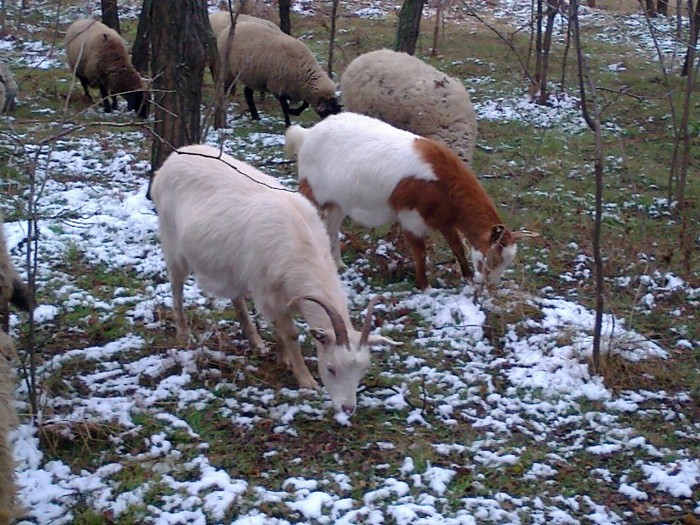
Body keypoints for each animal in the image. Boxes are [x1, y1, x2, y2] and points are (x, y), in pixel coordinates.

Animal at [150, 143, 396, 414]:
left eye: (362, 370)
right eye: (331, 368)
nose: (348, 408)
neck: (302, 246)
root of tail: (174, 157)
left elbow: (281, 331)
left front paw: (283, 358)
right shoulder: (268, 293)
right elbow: (290, 334)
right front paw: (305, 379)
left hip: (234, 267)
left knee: (237, 298)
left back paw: (256, 342)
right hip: (173, 245)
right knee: (177, 288)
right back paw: (184, 334)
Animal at [284, 112, 536, 288]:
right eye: (493, 258)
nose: (491, 285)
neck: (444, 183)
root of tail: (306, 135)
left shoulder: (443, 219)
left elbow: (456, 246)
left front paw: (465, 276)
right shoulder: (411, 217)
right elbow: (420, 251)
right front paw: (424, 286)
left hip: (338, 200)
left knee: (331, 227)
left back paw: (338, 263)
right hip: (310, 189)